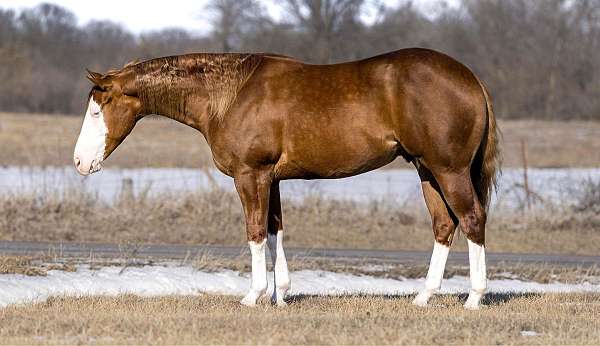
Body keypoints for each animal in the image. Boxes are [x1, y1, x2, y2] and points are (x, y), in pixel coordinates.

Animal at [74, 48, 502, 308]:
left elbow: (255, 231)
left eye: (97, 110)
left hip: (448, 170)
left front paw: (253, 295)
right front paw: (280, 296)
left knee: (472, 219)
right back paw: (424, 297)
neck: (229, 95)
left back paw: (474, 298)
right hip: (426, 170)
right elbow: (275, 229)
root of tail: (471, 78)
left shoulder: (251, 175)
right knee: (445, 225)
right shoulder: (272, 179)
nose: (79, 162)